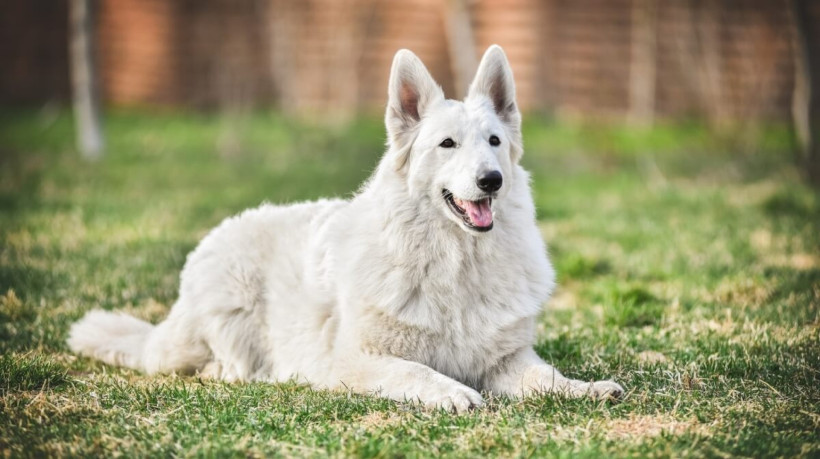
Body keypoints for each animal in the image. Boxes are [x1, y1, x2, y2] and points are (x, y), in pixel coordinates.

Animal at [69, 46, 620, 414]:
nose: (492, 180)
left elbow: (546, 375)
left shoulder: (508, 360)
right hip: (227, 311)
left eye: (494, 141)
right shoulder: (354, 360)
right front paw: (453, 392)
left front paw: (586, 388)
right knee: (207, 362)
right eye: (447, 144)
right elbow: (415, 368)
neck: (454, 265)